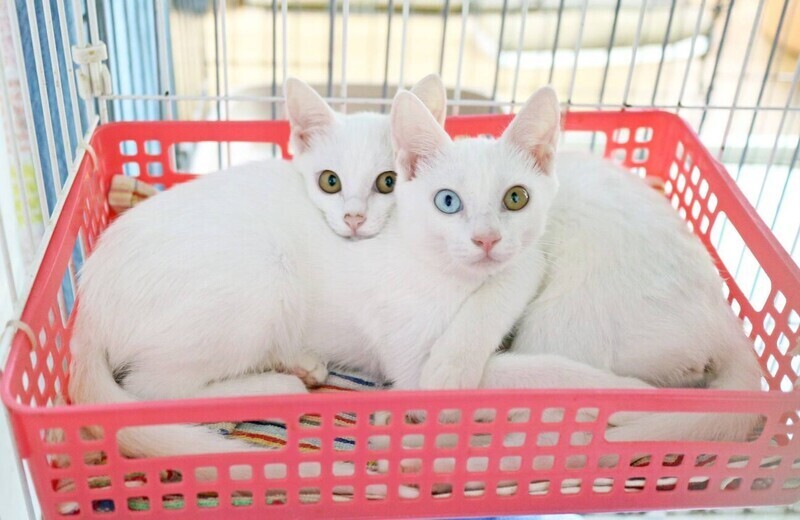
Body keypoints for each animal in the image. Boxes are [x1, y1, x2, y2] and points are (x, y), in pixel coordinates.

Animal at [68, 85, 561, 462]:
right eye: (448, 201)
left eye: (516, 198)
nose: (487, 239)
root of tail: (86, 299)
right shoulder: (408, 359)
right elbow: (485, 380)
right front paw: (463, 381)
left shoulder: (528, 259)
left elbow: (511, 280)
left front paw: (460, 359)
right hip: (261, 277)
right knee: (151, 389)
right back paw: (275, 387)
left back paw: (298, 363)